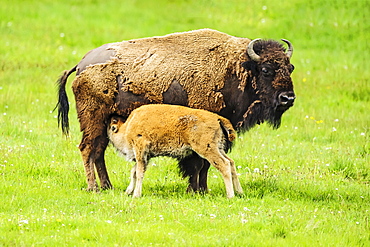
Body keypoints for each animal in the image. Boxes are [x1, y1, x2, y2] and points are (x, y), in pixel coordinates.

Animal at [108, 104, 244, 199]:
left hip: (207, 150)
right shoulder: (146, 156)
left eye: (111, 128)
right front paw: (128, 191)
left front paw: (136, 194)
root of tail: (217, 118)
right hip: (218, 148)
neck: (128, 127)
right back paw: (240, 192)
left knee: (224, 165)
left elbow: (139, 172)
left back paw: (230, 195)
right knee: (231, 163)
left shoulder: (140, 150)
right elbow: (134, 171)